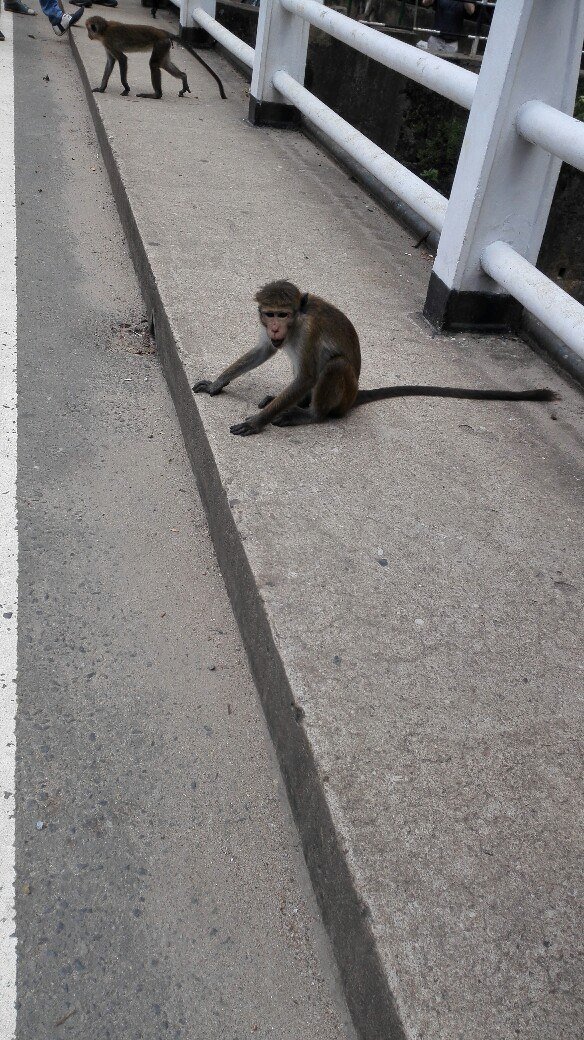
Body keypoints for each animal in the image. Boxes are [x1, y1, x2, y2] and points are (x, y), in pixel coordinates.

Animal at [86, 16, 226, 100]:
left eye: (89, 30)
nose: (88, 36)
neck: (105, 29)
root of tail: (162, 32)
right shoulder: (107, 44)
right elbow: (110, 62)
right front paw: (102, 88)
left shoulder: (109, 41)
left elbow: (122, 59)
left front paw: (126, 87)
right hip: (164, 45)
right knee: (164, 63)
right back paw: (183, 76)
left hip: (160, 43)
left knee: (153, 64)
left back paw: (157, 95)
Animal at [192, 281, 558, 437]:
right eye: (269, 313)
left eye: (284, 313)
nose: (276, 326)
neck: (297, 323)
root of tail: (354, 396)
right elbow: (264, 351)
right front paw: (217, 383)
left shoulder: (308, 330)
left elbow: (309, 374)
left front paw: (257, 423)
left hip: (342, 394)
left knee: (333, 367)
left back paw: (310, 414)